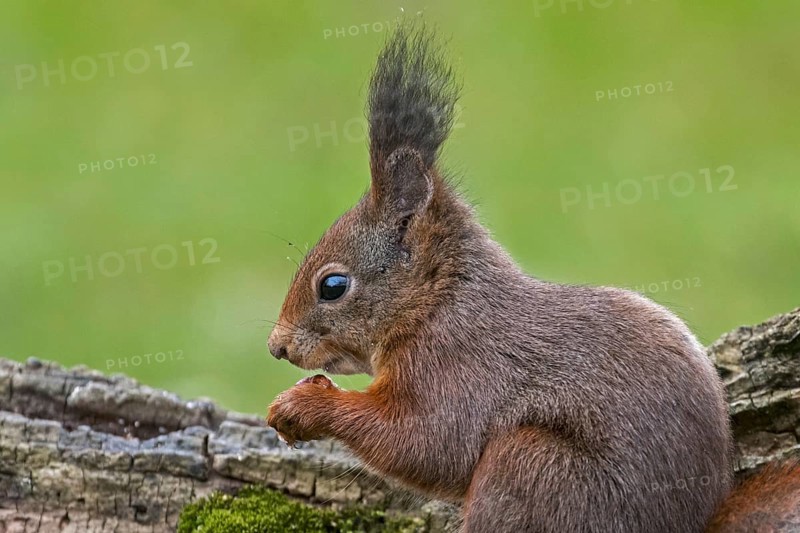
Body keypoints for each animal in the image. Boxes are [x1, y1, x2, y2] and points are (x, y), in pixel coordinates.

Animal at [267, 22, 800, 532]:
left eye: (332, 286)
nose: (277, 347)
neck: (437, 303)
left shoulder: (459, 368)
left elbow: (426, 442)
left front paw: (301, 405)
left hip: (530, 465)